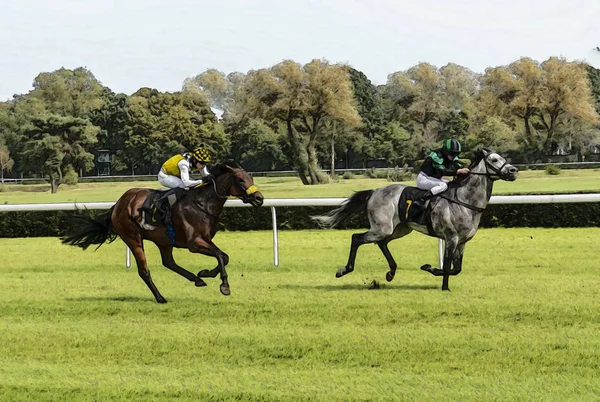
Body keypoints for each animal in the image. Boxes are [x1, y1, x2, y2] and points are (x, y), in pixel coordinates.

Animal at [61, 162, 264, 304]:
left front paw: (205, 273)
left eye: (251, 178)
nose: (259, 198)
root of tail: (117, 205)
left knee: (168, 262)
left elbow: (224, 256)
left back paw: (196, 279)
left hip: (163, 240)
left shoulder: (205, 239)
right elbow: (220, 256)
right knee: (144, 271)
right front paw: (224, 286)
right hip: (133, 238)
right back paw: (160, 298)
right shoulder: (194, 243)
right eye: (240, 180)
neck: (202, 204)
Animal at [312, 149, 516, 290]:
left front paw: (431, 269)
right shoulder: (451, 238)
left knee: (382, 243)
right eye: (494, 159)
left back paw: (391, 272)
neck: (465, 201)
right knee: (356, 238)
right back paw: (344, 270)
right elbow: (448, 265)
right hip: (382, 228)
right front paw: (443, 286)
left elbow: (456, 268)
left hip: (399, 229)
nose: (514, 170)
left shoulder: (463, 241)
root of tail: (374, 192)